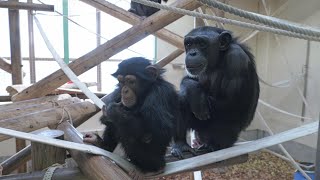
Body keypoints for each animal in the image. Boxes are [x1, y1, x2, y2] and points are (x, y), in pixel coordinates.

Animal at [171, 26, 258, 158]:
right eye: (189, 44)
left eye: (202, 44)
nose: (192, 53)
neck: (218, 59)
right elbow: (189, 80)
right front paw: (194, 90)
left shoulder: (237, 59)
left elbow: (232, 103)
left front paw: (198, 98)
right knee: (180, 99)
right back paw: (181, 145)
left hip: (224, 135)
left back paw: (212, 145)